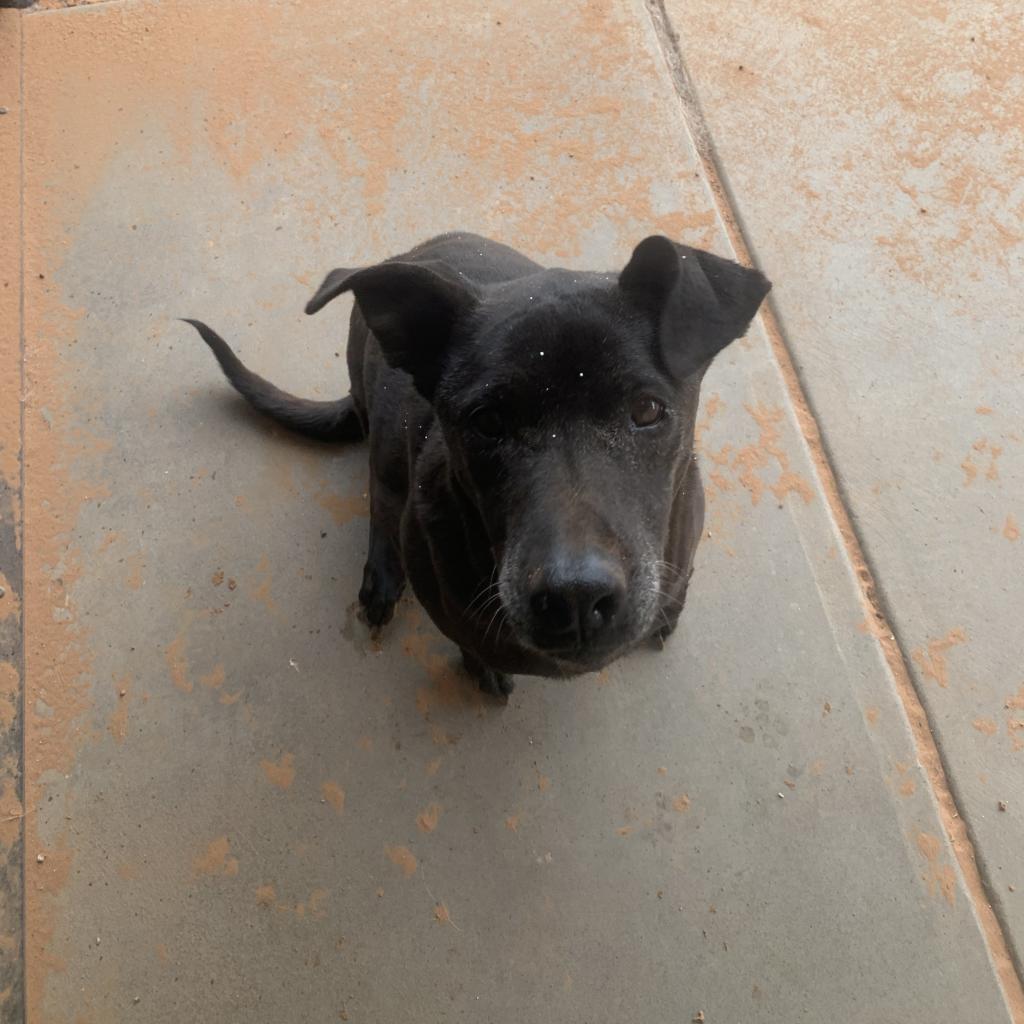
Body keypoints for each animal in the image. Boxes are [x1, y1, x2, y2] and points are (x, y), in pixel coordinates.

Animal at [188, 232, 770, 696]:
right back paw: (382, 577)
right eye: (487, 421)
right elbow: (468, 642)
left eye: (647, 410)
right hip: (385, 443)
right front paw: (482, 669)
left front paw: (669, 614)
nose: (575, 598)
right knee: (380, 499)